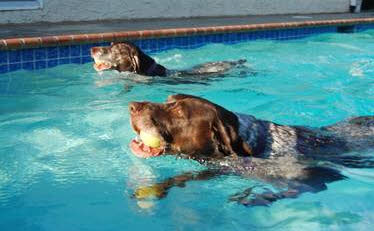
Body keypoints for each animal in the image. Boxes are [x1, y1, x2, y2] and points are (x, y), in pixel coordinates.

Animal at [129, 94, 374, 207]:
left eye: (179, 113)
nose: (132, 106)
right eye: (167, 100)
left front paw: (253, 198)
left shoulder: (315, 178)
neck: (260, 146)